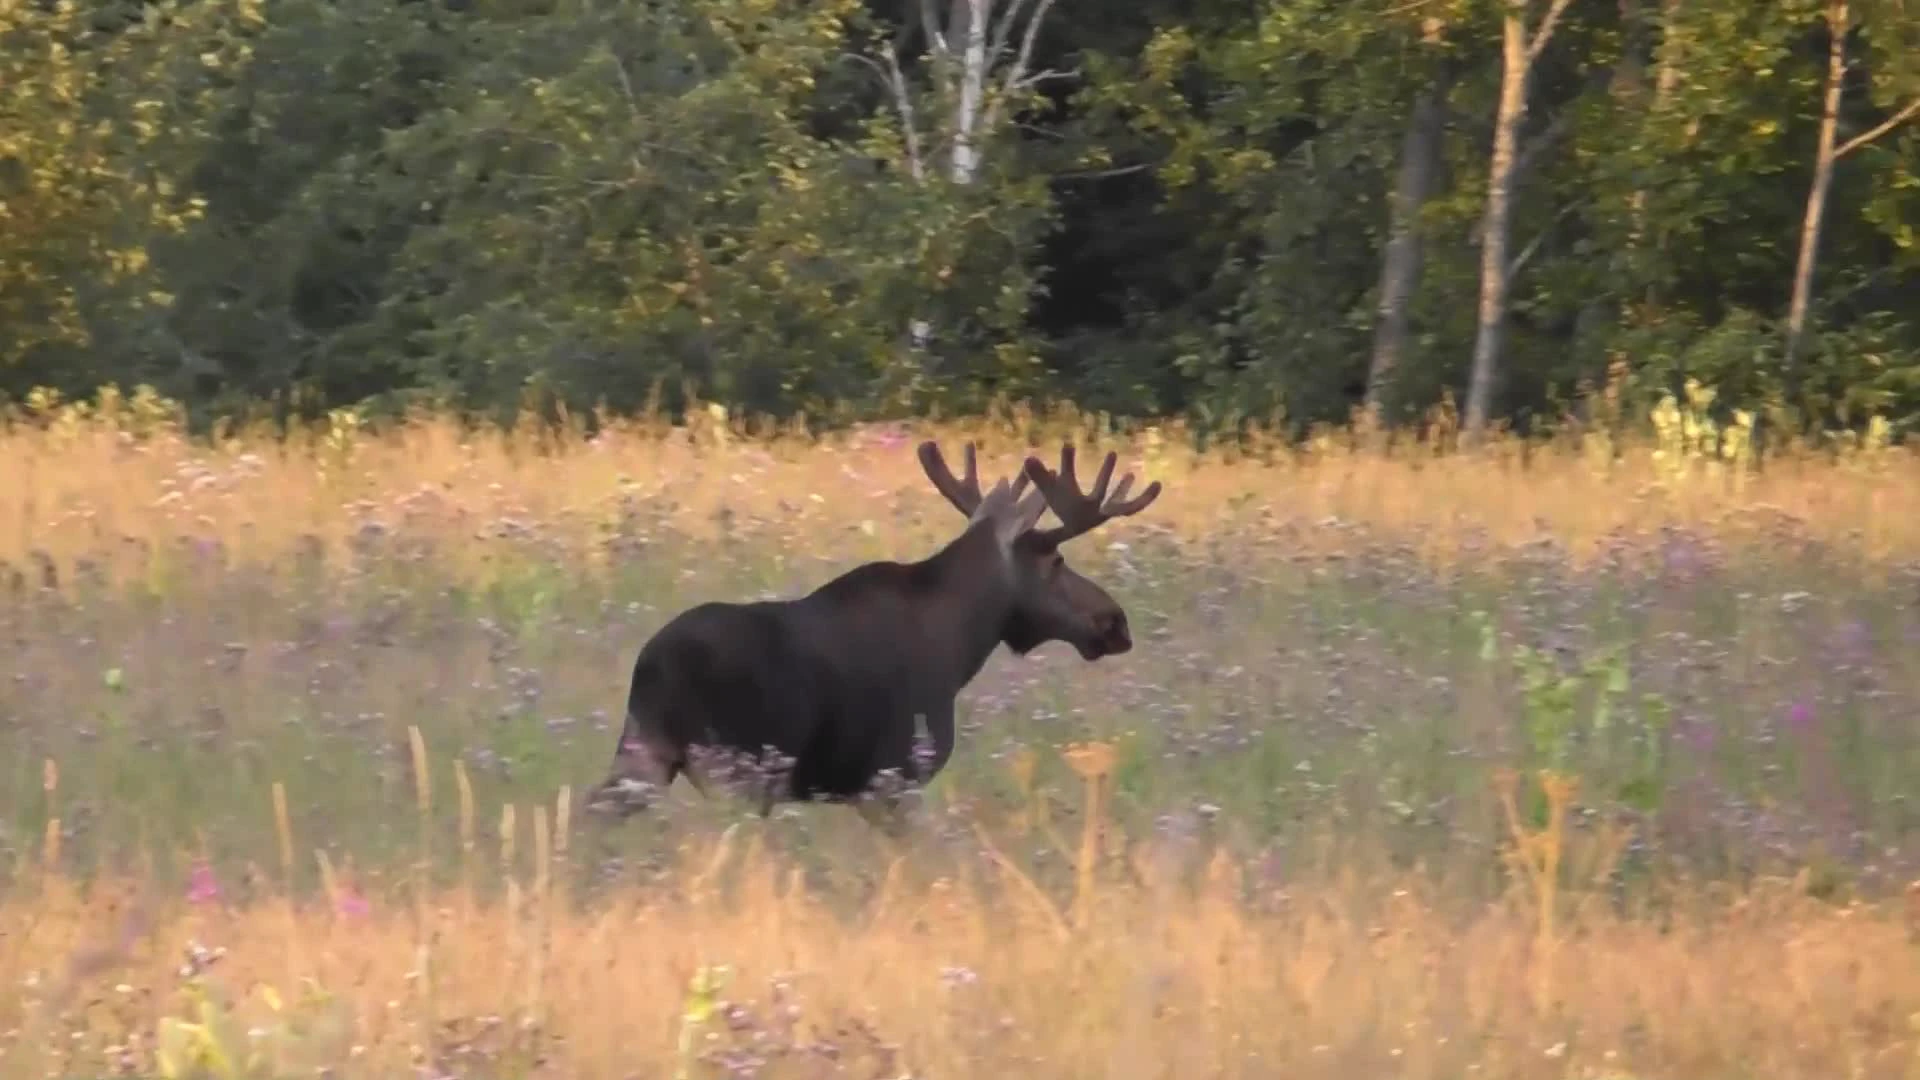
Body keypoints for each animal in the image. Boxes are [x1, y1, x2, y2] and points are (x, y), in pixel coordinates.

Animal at [576, 438, 1159, 822]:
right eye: (1056, 561)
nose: (1115, 622)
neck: (961, 646)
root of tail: (648, 664)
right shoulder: (895, 777)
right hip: (730, 765)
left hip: (646, 751)